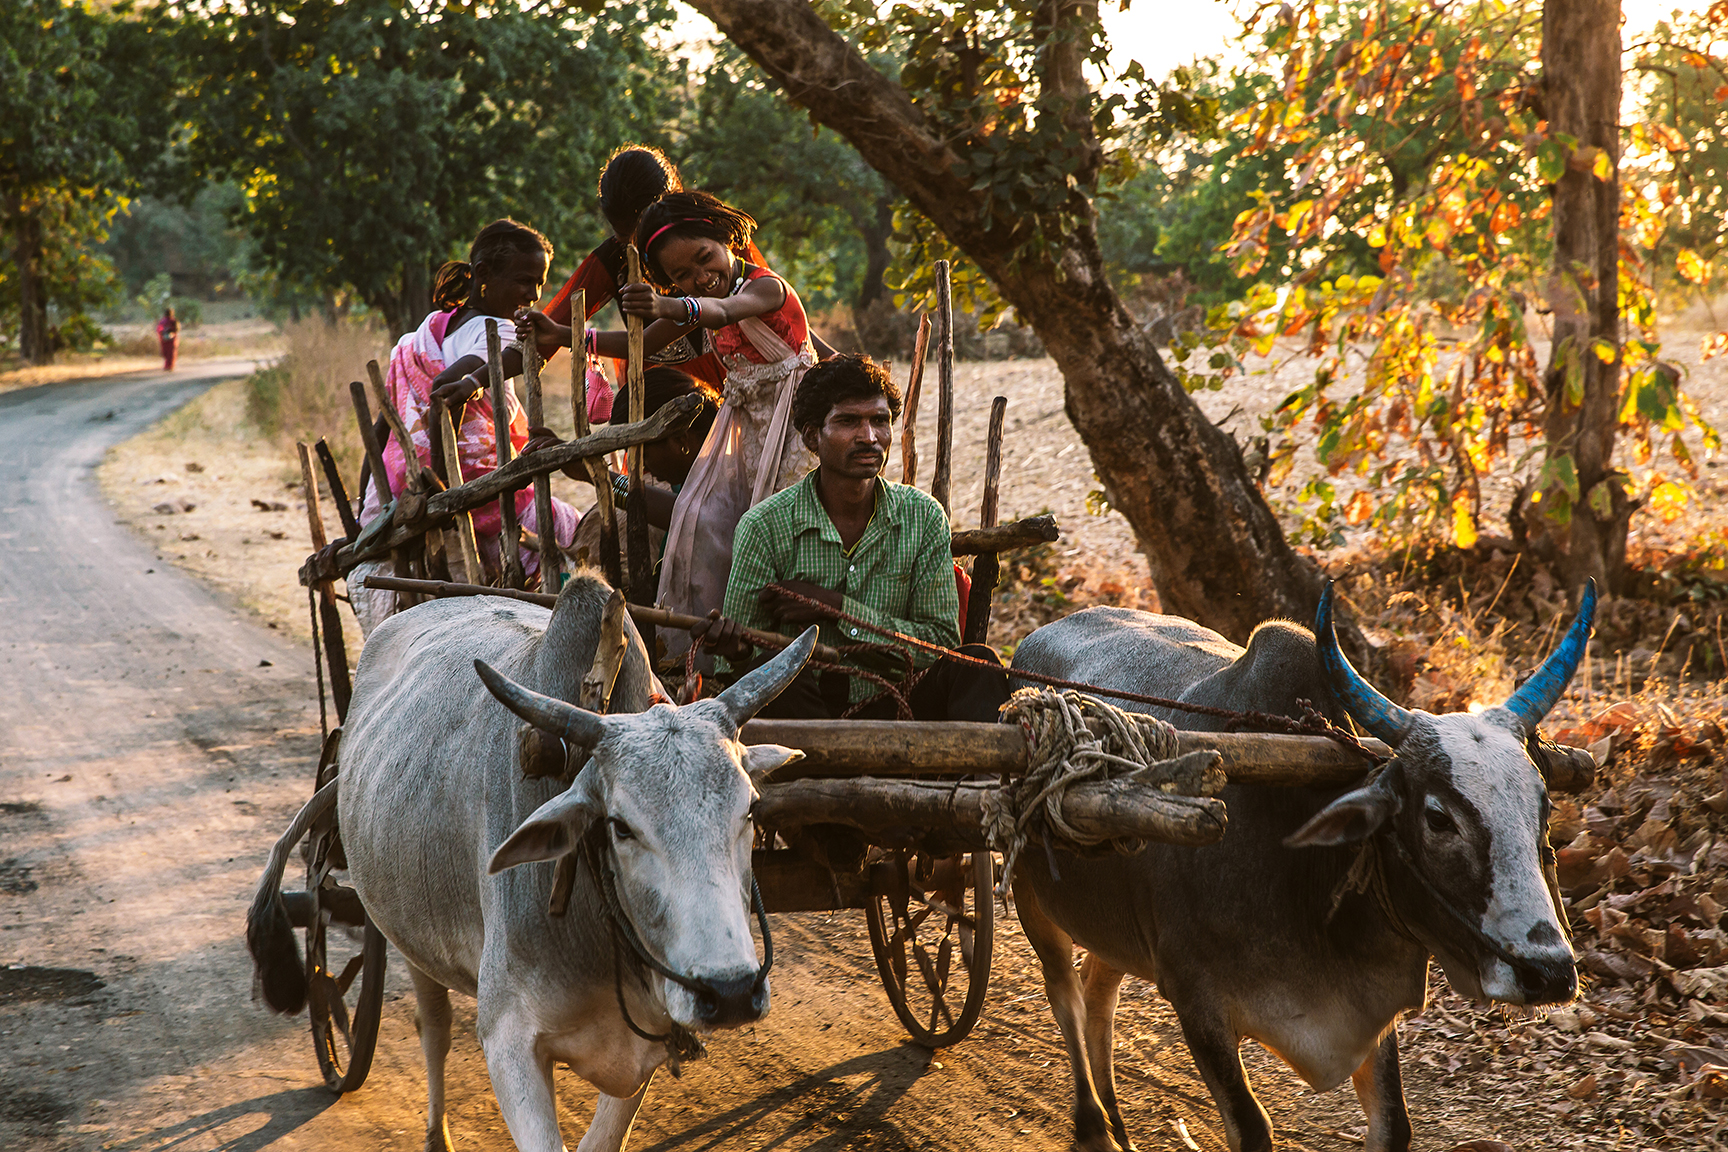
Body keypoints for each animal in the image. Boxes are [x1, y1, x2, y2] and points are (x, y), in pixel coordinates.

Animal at [247, 574, 816, 1152]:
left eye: (751, 808)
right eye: (620, 826)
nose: (730, 993)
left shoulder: (650, 1038)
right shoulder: (509, 1040)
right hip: (403, 930)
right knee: (434, 1026)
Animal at [1006, 579, 1595, 1152]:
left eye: (1544, 806)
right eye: (1437, 817)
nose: (1549, 973)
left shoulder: (1370, 1014)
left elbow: (1393, 1124)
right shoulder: (1198, 1005)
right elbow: (1252, 1127)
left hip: (1118, 925)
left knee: (1097, 990)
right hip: (1030, 894)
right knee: (1064, 991)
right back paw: (1092, 1126)